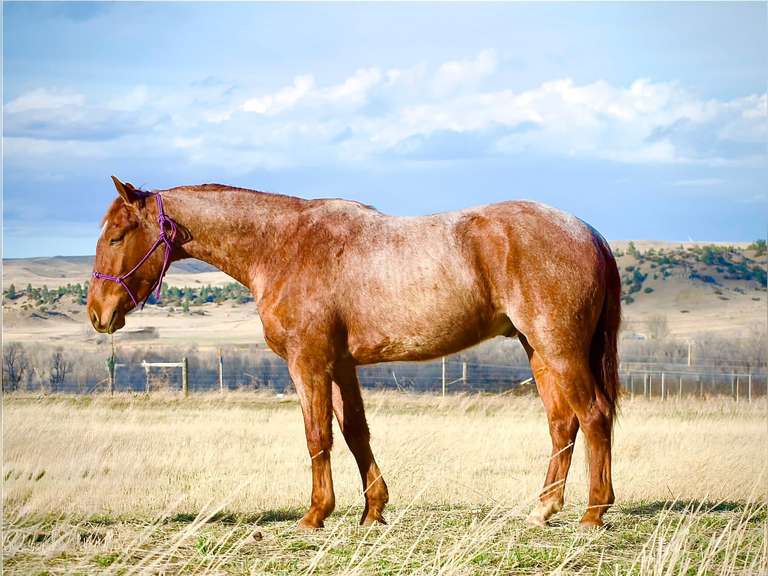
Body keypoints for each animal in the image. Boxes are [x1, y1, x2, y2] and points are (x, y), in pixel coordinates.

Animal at [87, 176, 621, 529]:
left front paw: (315, 514)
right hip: (538, 350)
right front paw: (373, 511)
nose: (97, 313)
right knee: (562, 423)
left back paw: (593, 512)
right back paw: (543, 508)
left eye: (116, 236)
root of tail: (589, 232)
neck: (282, 246)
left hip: (559, 347)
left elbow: (317, 436)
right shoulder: (341, 366)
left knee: (592, 415)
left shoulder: (309, 364)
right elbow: (354, 433)